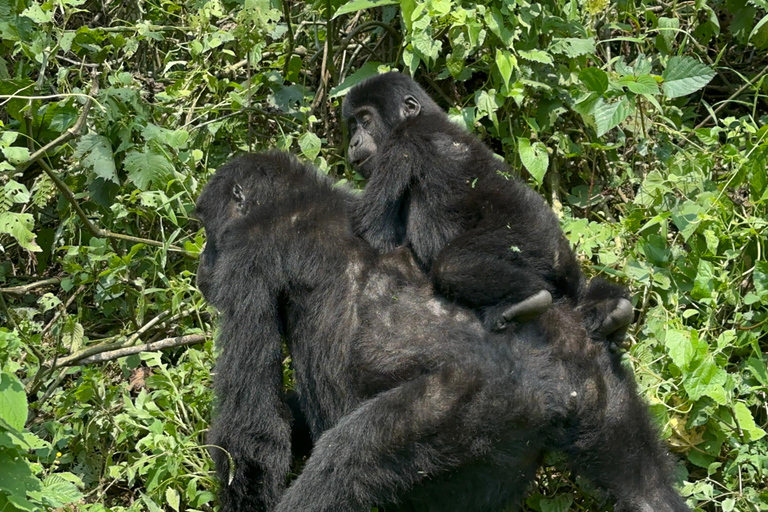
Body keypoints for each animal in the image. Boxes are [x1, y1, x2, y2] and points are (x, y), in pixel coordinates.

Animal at [195, 151, 688, 512]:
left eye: (206, 229)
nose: (201, 267)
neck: (299, 197)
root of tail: (556, 373)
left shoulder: (246, 259)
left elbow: (251, 427)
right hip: (596, 381)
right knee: (645, 488)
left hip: (478, 401)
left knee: (349, 456)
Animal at [344, 70, 632, 338]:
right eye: (353, 125)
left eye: (366, 121)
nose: (353, 142)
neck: (419, 115)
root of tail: (558, 249)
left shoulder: (401, 142)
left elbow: (372, 230)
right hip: (566, 264)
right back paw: (610, 310)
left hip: (524, 238)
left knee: (453, 267)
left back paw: (527, 299)